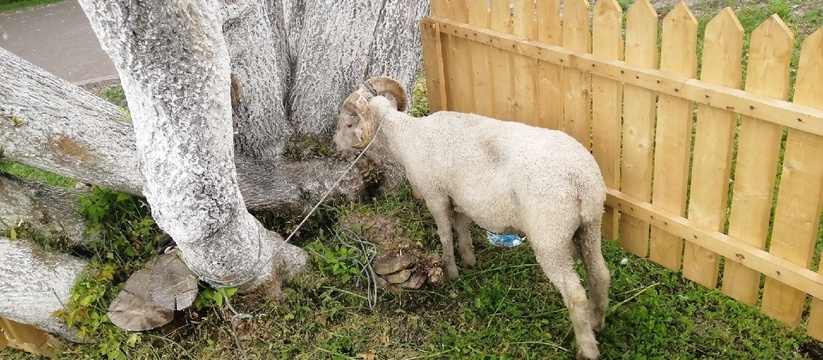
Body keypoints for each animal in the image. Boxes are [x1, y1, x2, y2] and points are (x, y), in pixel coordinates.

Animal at [334, 76, 612, 360]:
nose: (334, 145)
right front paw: (468, 261)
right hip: (590, 225)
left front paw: (450, 271)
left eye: (349, 124)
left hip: (550, 237)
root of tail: (581, 180)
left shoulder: (435, 194)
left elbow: (445, 234)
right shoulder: (458, 200)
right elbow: (462, 229)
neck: (408, 138)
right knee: (600, 274)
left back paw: (587, 348)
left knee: (575, 295)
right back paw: (597, 322)